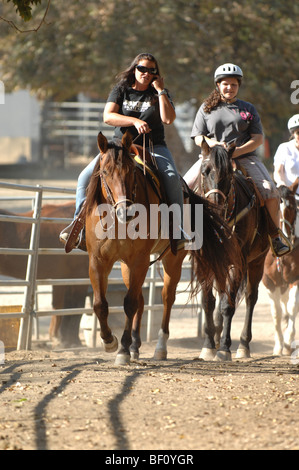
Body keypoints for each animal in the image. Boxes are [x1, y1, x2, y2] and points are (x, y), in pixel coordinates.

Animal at [0, 204, 89, 346]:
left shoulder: (62, 278)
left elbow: (60, 306)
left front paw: (58, 338)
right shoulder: (79, 277)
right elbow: (75, 306)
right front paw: (72, 341)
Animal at [84, 130, 244, 366]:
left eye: (131, 172)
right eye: (104, 171)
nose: (125, 211)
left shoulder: (139, 260)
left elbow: (129, 303)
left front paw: (122, 349)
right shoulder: (98, 260)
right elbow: (100, 304)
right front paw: (109, 340)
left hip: (172, 260)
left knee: (167, 298)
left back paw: (159, 347)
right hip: (127, 265)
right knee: (141, 300)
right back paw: (135, 346)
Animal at [197, 139, 272, 360]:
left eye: (228, 174)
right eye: (204, 171)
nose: (215, 206)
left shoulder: (239, 262)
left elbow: (227, 305)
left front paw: (224, 348)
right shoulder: (205, 260)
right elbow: (208, 301)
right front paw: (208, 346)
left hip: (257, 261)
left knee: (250, 298)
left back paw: (244, 345)